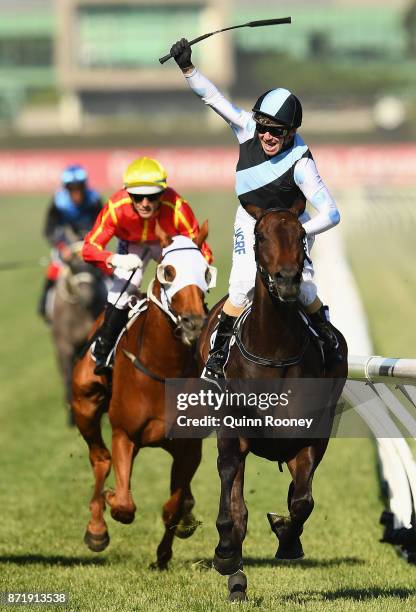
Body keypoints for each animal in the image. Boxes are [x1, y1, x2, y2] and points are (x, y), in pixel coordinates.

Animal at [72, 231, 214, 568]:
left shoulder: (189, 445)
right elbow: (124, 505)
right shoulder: (125, 434)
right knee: (100, 458)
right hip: (85, 404)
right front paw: (111, 499)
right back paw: (96, 529)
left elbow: (173, 505)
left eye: (206, 272)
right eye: (168, 272)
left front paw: (165, 551)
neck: (163, 370)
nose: (193, 323)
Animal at [198, 208, 348, 600]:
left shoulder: (312, 435)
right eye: (260, 236)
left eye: (300, 234)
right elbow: (232, 501)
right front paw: (226, 556)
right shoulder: (232, 430)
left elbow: (302, 501)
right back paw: (235, 574)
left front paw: (286, 536)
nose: (287, 281)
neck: (275, 348)